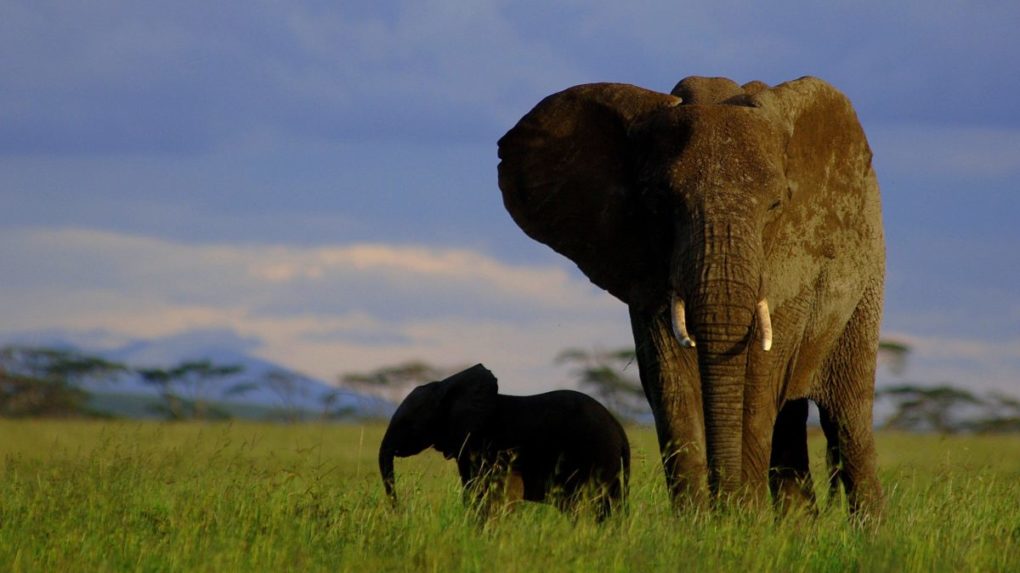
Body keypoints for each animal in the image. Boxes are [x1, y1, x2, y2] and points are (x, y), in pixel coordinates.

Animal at [377, 362, 624, 519]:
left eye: (408, 423)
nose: (399, 512)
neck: (446, 387)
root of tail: (619, 429)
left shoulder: (482, 445)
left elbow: (478, 493)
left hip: (597, 457)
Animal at [499, 73, 885, 515]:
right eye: (660, 203)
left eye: (775, 206)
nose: (725, 502)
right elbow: (671, 381)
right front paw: (700, 523)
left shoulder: (791, 265)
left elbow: (757, 383)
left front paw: (741, 522)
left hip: (867, 285)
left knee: (847, 420)